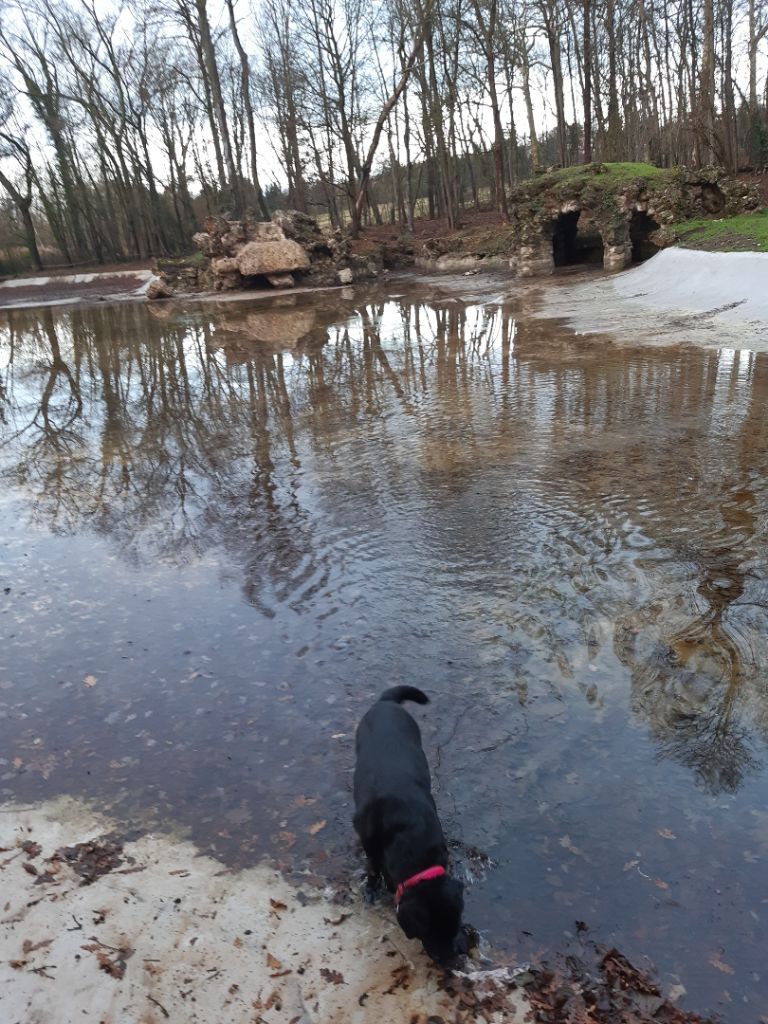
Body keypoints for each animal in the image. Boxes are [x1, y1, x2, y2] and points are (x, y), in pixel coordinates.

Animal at [352, 688, 466, 958]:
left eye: (454, 926)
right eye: (428, 932)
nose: (450, 961)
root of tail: (385, 703)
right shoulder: (368, 841)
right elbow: (372, 867)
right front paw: (371, 889)